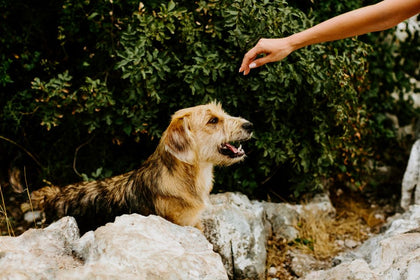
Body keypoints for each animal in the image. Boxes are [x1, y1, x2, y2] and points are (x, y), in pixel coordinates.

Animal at [32, 101, 253, 233]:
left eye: (223, 113)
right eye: (213, 120)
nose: (250, 125)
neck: (186, 177)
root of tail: (52, 195)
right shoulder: (184, 224)